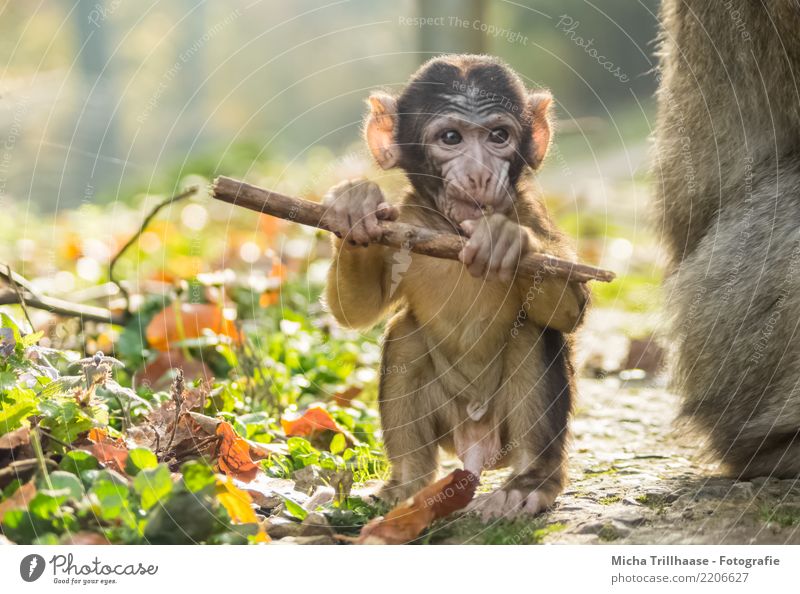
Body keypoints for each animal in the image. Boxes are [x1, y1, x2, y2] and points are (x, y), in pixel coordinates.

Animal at [322, 56, 592, 520]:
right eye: (451, 138)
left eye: (499, 136)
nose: (480, 174)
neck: (453, 229)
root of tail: (476, 447)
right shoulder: (406, 222)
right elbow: (357, 310)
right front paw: (354, 208)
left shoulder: (528, 209)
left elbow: (571, 307)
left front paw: (508, 240)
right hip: (450, 424)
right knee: (406, 337)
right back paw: (407, 482)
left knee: (532, 333)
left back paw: (531, 482)